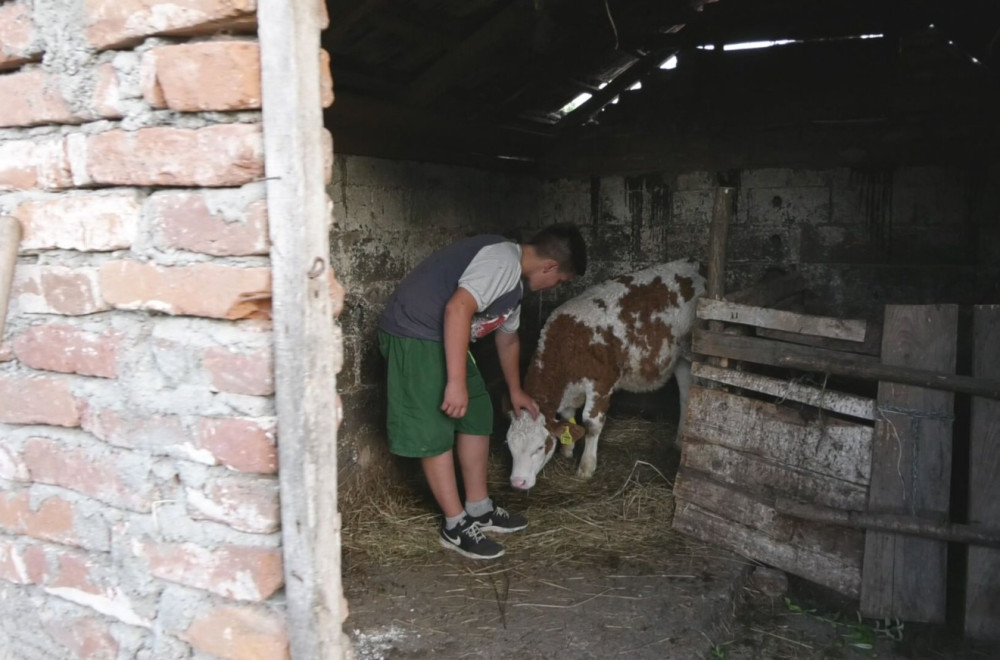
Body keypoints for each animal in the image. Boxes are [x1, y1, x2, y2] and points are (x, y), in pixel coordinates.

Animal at [508, 260, 704, 492]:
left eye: (539, 447)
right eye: (509, 446)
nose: (517, 482)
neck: (568, 344)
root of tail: (691, 264)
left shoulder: (601, 384)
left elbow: (591, 424)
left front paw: (586, 466)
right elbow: (567, 417)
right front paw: (567, 450)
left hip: (691, 352)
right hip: (679, 359)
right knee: (685, 395)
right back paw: (679, 441)